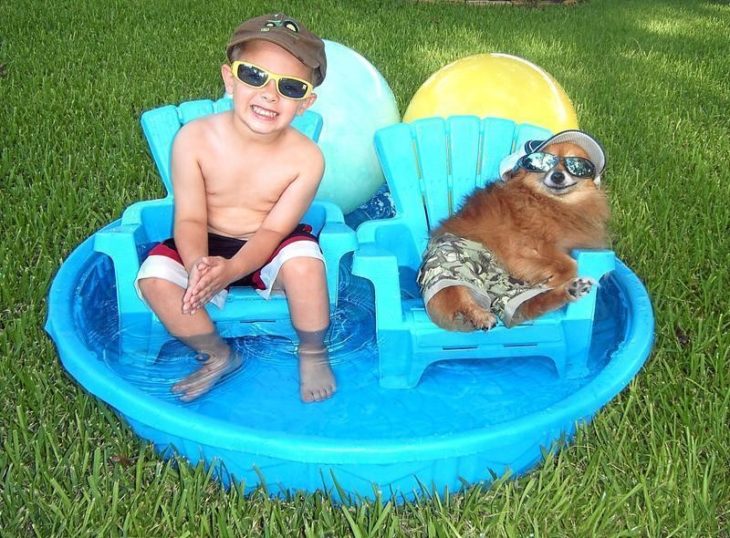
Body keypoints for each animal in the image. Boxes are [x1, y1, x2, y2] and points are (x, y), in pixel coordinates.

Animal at [418, 132, 604, 328]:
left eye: (576, 166)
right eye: (544, 163)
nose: (557, 176)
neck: (550, 202)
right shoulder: (525, 248)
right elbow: (570, 263)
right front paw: (558, 277)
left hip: (510, 290)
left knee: (531, 305)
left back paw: (573, 290)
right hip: (452, 264)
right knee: (460, 297)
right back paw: (480, 315)